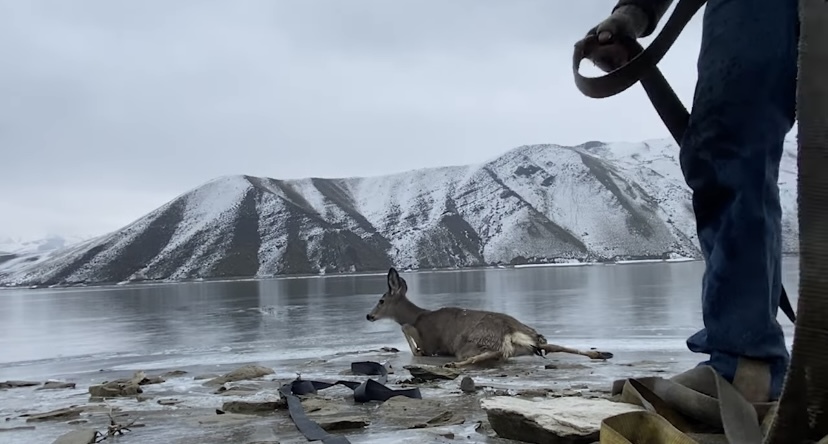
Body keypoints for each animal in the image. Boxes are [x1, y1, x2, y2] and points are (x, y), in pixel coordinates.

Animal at [366, 268, 612, 368]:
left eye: (381, 300)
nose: (369, 315)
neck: (418, 314)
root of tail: (510, 329)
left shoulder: (429, 343)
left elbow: (410, 335)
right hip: (530, 339)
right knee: (551, 344)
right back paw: (600, 353)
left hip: (471, 342)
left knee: (497, 352)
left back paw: (454, 364)